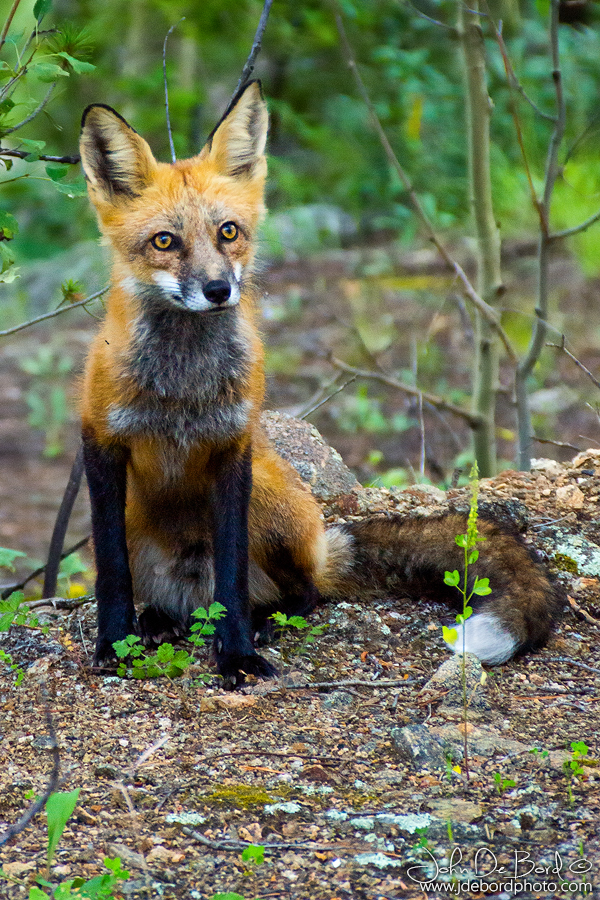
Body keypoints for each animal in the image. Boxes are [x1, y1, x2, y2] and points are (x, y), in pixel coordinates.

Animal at [78, 86, 564, 688]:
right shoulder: (100, 440)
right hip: (138, 518)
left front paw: (237, 654)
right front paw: (114, 642)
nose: (217, 290)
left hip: (271, 500)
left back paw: (263, 620)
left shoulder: (233, 447)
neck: (181, 390)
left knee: (302, 592)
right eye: (164, 241)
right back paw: (158, 620)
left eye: (228, 231)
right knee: (173, 596)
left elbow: (234, 577)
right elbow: (111, 572)